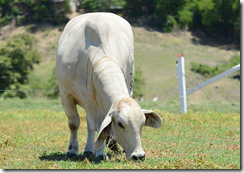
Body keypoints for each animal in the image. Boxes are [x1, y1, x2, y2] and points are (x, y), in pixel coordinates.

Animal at [55, 12, 162, 162]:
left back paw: (92, 149)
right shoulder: (66, 95)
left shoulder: (102, 103)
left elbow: (101, 127)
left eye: (142, 123)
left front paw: (100, 153)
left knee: (92, 125)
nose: (139, 156)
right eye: (121, 124)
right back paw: (88, 149)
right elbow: (74, 124)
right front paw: (72, 151)